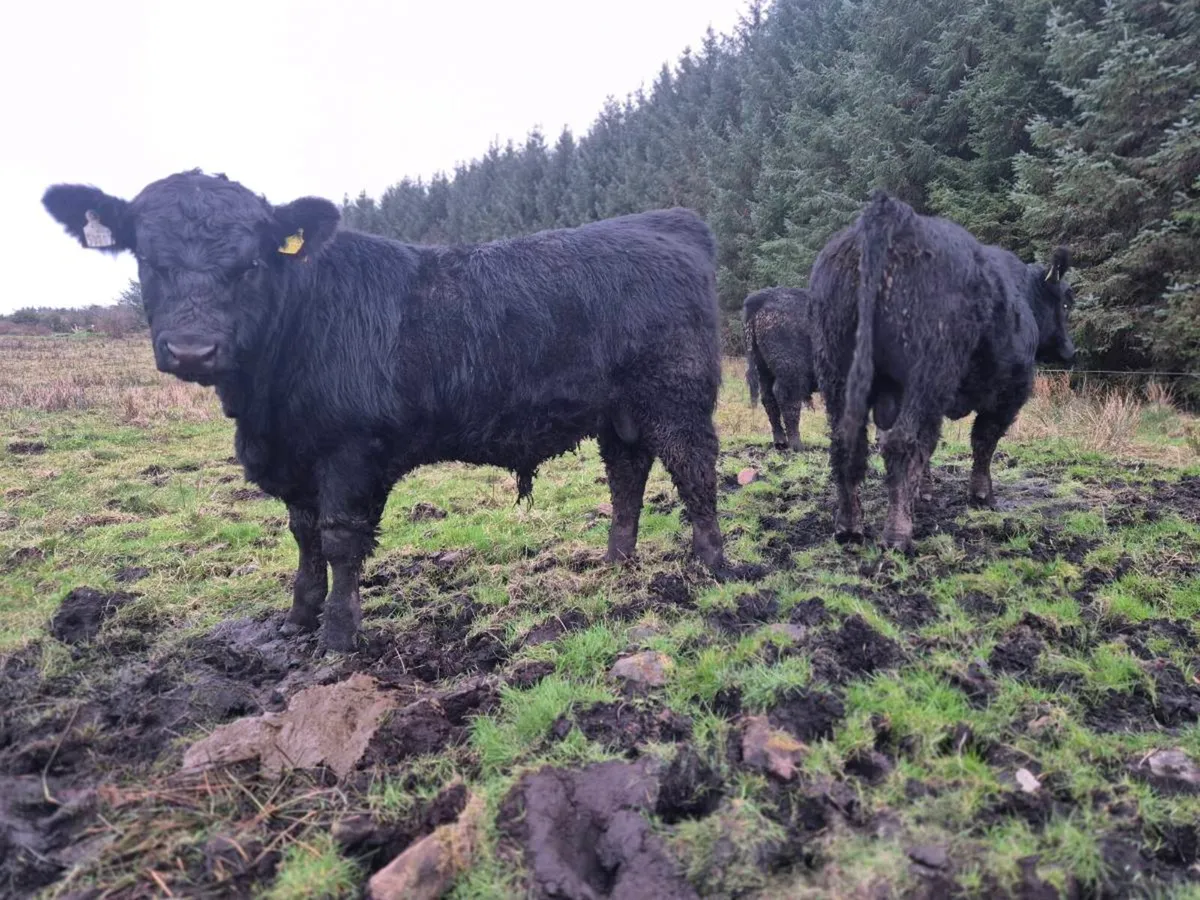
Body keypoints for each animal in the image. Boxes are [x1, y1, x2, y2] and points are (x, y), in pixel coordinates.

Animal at [43, 170, 728, 651]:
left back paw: (711, 569)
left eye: (250, 263)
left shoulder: (350, 450)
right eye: (147, 260)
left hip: (676, 397)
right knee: (627, 477)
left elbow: (340, 539)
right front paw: (297, 617)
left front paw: (337, 635)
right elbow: (303, 536)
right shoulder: (297, 457)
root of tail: (666, 222)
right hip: (620, 413)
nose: (192, 348)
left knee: (695, 473)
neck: (265, 404)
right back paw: (617, 564)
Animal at [742, 287, 818, 451]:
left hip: (764, 370)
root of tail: (763, 297)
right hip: (790, 372)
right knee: (787, 399)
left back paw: (780, 442)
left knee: (768, 398)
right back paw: (797, 445)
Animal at [808, 190, 1076, 552]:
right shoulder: (1010, 391)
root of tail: (891, 211)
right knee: (902, 443)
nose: (1071, 351)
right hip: (926, 375)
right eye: (1066, 302)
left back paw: (850, 526)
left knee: (847, 444)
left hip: (837, 371)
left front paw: (923, 492)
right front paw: (982, 496)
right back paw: (898, 535)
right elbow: (984, 440)